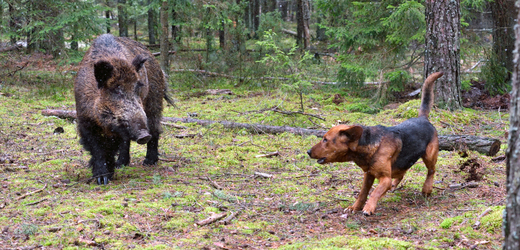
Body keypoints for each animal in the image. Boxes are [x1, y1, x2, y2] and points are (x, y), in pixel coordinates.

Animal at [306, 72, 444, 215]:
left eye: (325, 139)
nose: (308, 152)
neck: (370, 146)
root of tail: (423, 118)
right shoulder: (368, 175)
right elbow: (362, 194)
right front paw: (355, 207)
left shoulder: (385, 179)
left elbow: (375, 192)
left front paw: (369, 207)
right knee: (402, 173)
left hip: (429, 156)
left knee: (431, 171)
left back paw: (427, 188)